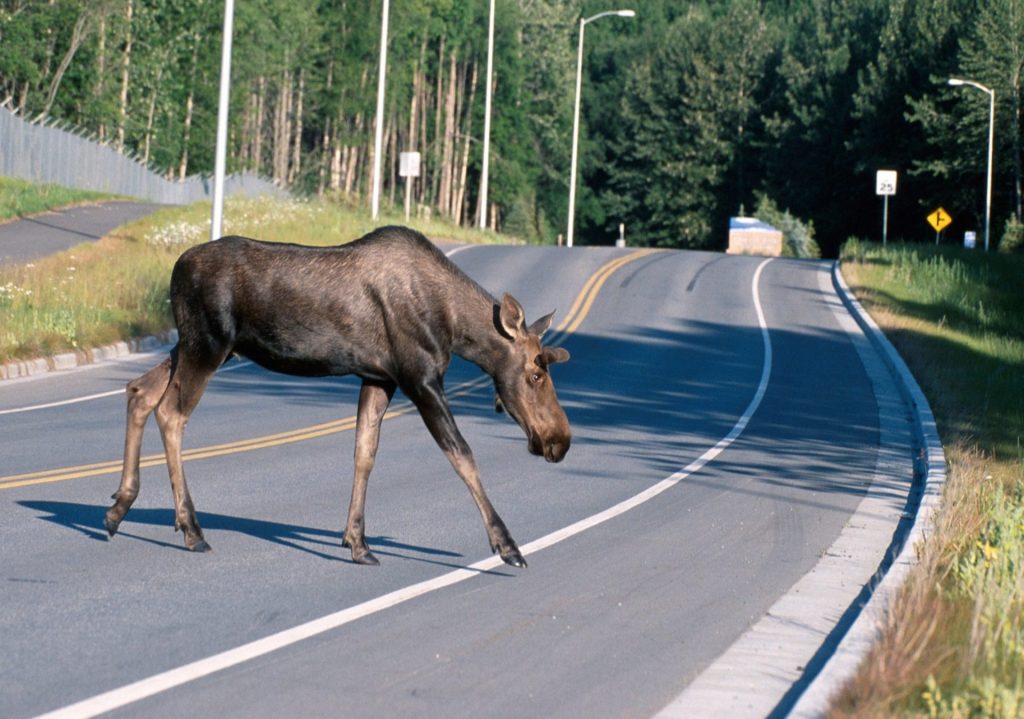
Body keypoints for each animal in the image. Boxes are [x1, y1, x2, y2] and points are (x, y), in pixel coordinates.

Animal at [107, 225, 573, 569]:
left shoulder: (379, 378)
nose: (560, 441)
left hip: (191, 345)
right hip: (208, 345)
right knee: (171, 413)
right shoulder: (419, 378)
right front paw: (508, 546)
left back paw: (119, 507)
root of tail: (175, 268)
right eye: (535, 373)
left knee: (140, 391)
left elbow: (364, 452)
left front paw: (358, 542)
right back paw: (191, 529)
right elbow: (462, 455)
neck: (455, 327)